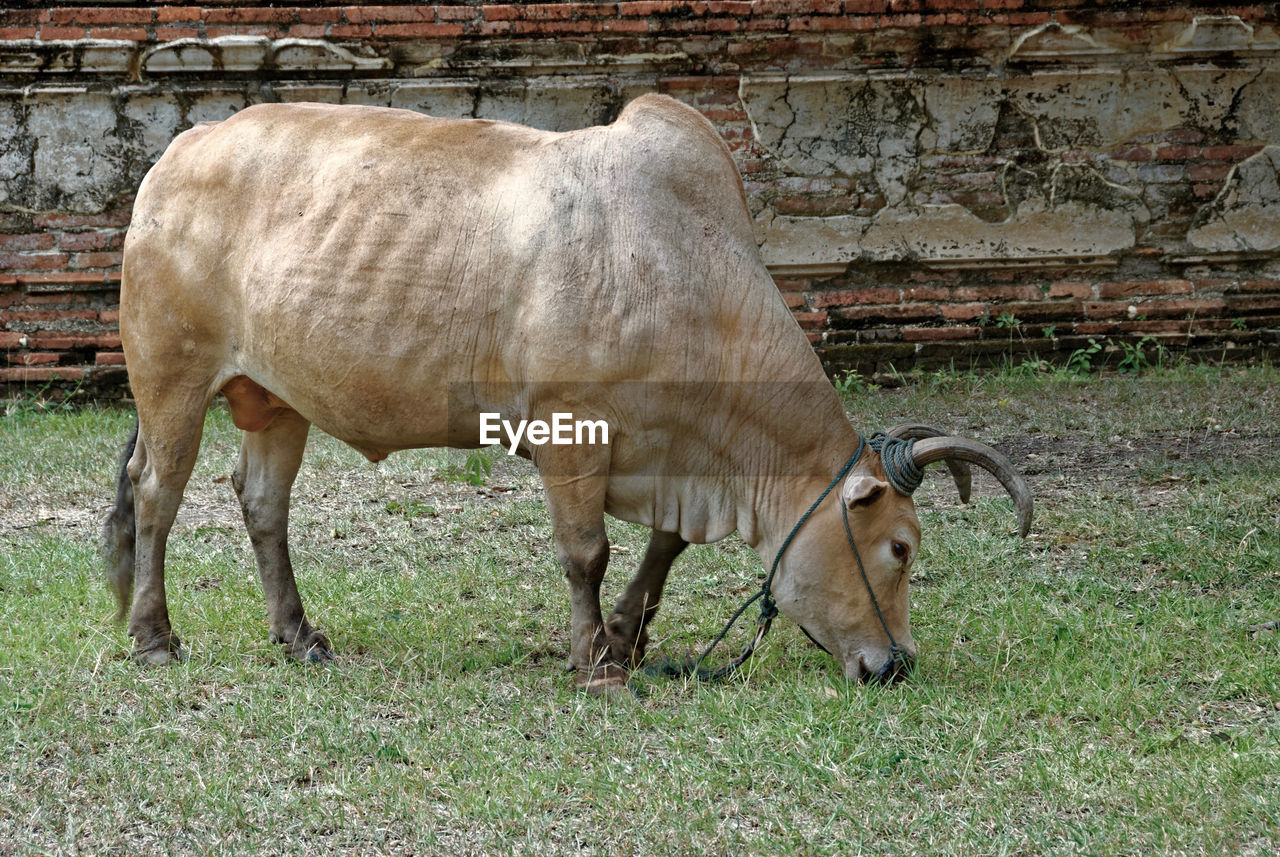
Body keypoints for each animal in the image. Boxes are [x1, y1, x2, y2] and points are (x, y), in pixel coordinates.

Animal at [104, 95, 1034, 695]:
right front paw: (595, 662)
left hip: (277, 398)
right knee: (157, 494)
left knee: (262, 503)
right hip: (171, 380)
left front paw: (626, 637)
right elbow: (587, 553)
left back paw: (298, 635)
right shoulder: (571, 438)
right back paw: (154, 636)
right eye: (900, 548)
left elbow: (662, 548)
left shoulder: (670, 454)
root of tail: (183, 149)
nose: (896, 664)